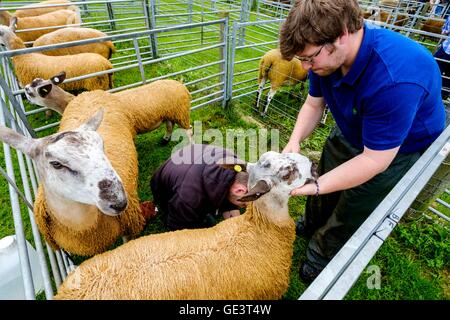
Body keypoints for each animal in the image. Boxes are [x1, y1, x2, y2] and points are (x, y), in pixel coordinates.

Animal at [13, 71, 191, 256]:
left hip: (180, 112)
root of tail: (179, 84)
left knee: (189, 130)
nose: (23, 97)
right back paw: (165, 139)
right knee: (169, 125)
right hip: (170, 113)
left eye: (30, 92)